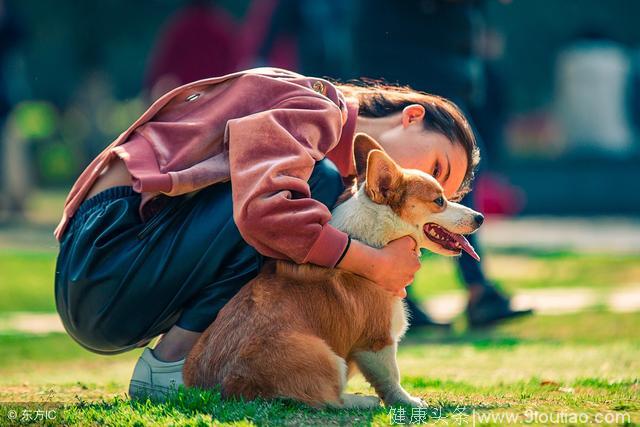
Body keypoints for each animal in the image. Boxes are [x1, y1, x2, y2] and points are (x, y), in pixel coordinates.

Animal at [182, 134, 482, 408]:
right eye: (439, 200)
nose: (480, 218)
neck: (376, 236)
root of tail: (223, 388)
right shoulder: (377, 341)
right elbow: (390, 377)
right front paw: (408, 402)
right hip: (327, 357)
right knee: (328, 400)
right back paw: (360, 401)